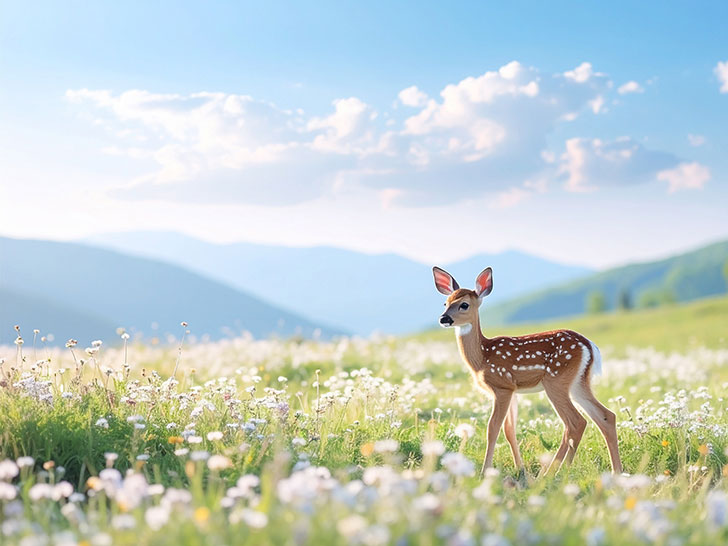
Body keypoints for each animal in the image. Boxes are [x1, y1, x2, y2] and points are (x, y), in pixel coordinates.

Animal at [432, 266, 622, 477]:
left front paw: (484, 471)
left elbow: (493, 428)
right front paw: (520, 468)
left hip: (556, 381)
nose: (444, 318)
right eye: (445, 302)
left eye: (464, 305)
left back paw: (551, 473)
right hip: (578, 382)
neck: (482, 357)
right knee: (606, 416)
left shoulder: (502, 386)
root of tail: (589, 345)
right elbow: (509, 430)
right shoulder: (513, 390)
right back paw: (615, 471)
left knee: (575, 422)